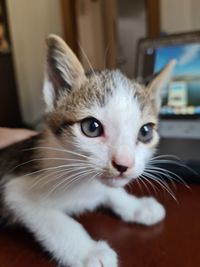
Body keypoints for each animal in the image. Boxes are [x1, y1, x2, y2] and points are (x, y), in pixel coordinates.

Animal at [0, 35, 175, 267]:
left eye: (145, 132)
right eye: (92, 127)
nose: (124, 164)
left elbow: (112, 191)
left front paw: (136, 207)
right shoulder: (14, 189)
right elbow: (56, 221)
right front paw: (88, 252)